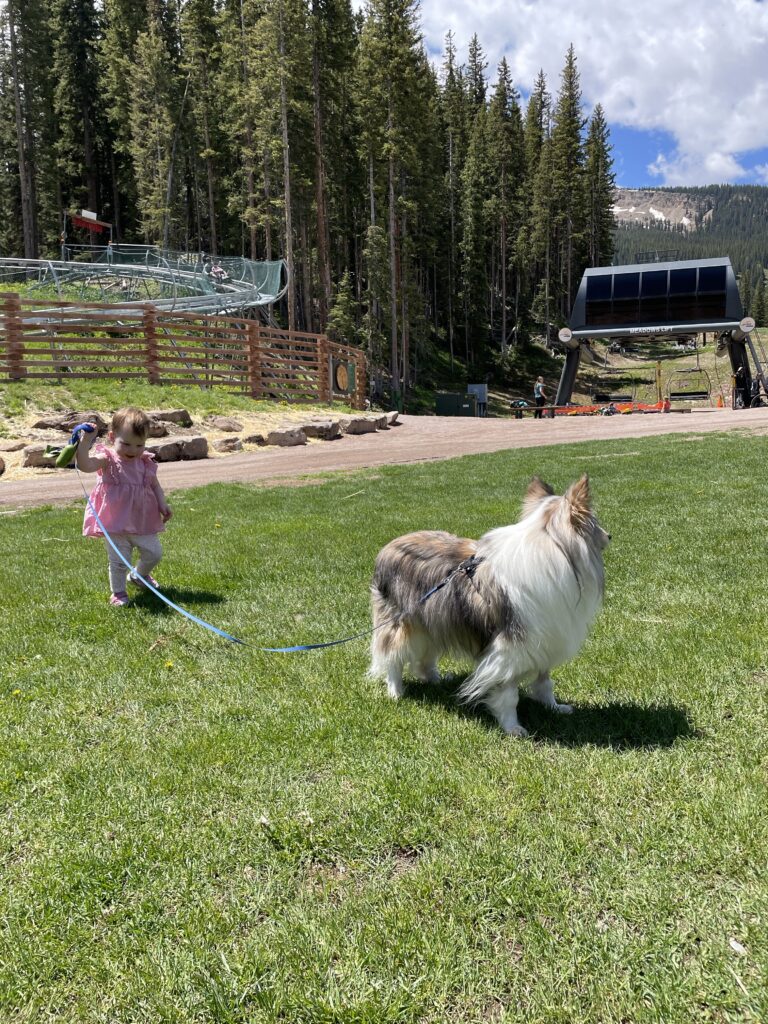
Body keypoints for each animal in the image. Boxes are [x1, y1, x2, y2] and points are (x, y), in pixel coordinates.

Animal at [370, 475, 610, 733]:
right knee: (392, 656)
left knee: (425, 657)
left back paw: (435, 679)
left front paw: (555, 708)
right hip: (403, 624)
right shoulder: (509, 649)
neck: (554, 552)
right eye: (595, 523)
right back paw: (396, 693)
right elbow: (509, 695)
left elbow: (545, 681)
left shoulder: (545, 637)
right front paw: (513, 728)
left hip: (435, 621)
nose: (610, 536)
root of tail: (386, 548)